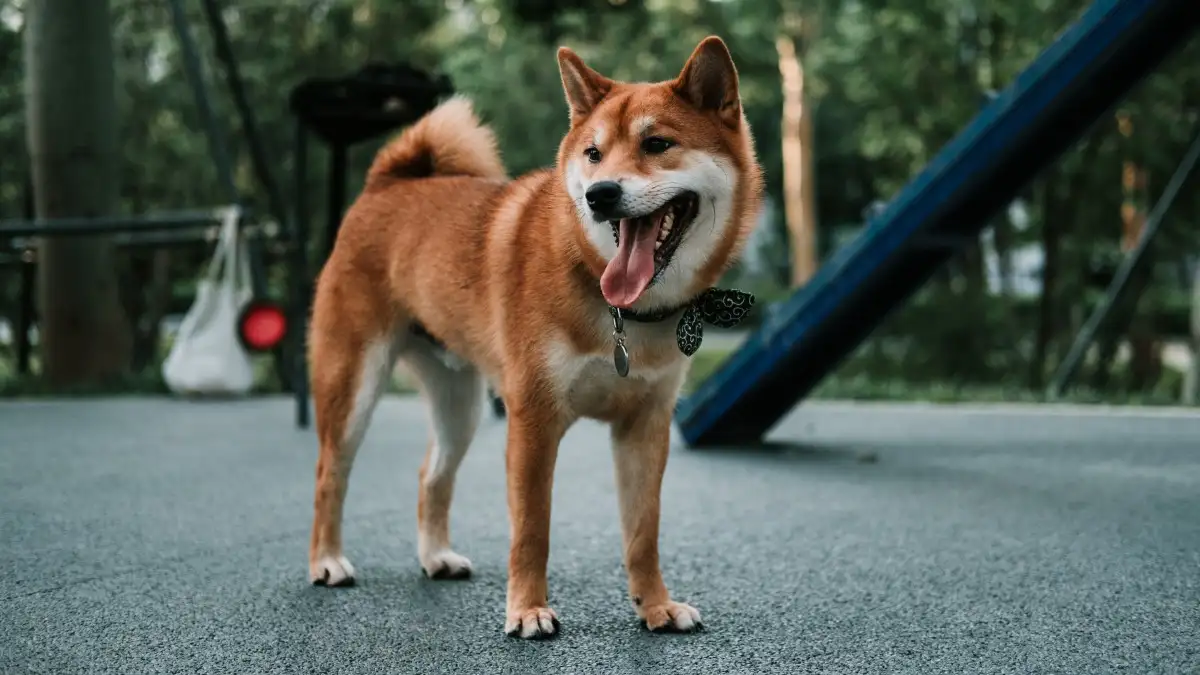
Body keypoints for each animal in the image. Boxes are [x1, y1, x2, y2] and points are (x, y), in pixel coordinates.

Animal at [304, 35, 763, 634]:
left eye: (658, 144)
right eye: (593, 154)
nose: (600, 194)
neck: (619, 309)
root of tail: (387, 186)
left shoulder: (646, 425)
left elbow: (643, 533)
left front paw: (656, 606)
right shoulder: (533, 421)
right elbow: (532, 531)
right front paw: (527, 610)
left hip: (460, 407)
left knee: (432, 476)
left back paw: (435, 557)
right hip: (353, 387)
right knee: (329, 474)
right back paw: (327, 561)